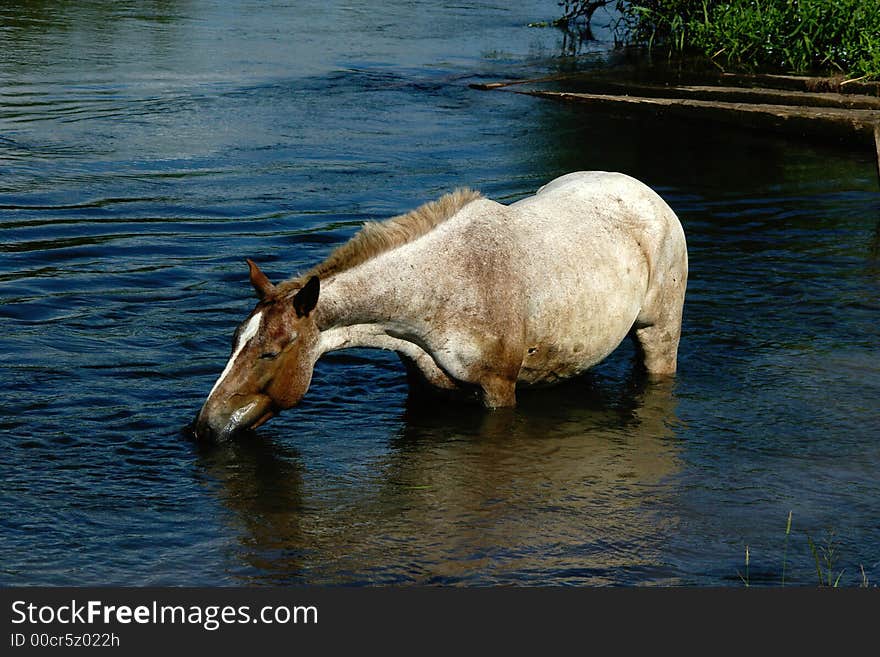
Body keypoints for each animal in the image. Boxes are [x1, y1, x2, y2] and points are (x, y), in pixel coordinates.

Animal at [194, 172, 688, 440]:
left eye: (269, 353)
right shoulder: (423, 385)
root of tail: (647, 193)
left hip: (659, 334)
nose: (204, 426)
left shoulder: (498, 389)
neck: (441, 288)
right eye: (233, 343)